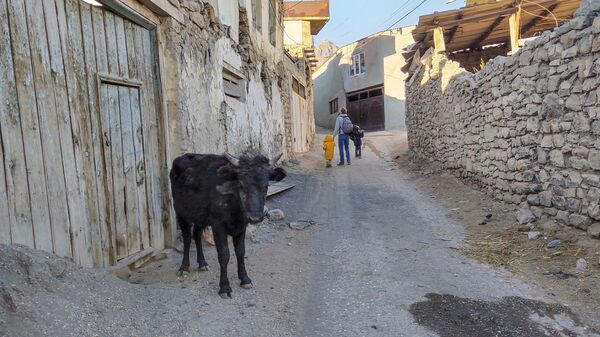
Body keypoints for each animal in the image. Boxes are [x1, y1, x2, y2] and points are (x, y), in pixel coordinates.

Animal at [170, 152, 288, 296]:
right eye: (242, 185)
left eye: (266, 186)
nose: (254, 218)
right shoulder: (218, 226)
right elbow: (224, 254)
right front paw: (224, 287)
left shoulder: (242, 226)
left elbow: (240, 252)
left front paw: (245, 279)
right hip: (180, 213)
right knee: (187, 238)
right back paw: (184, 267)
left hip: (200, 216)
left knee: (196, 235)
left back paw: (202, 263)